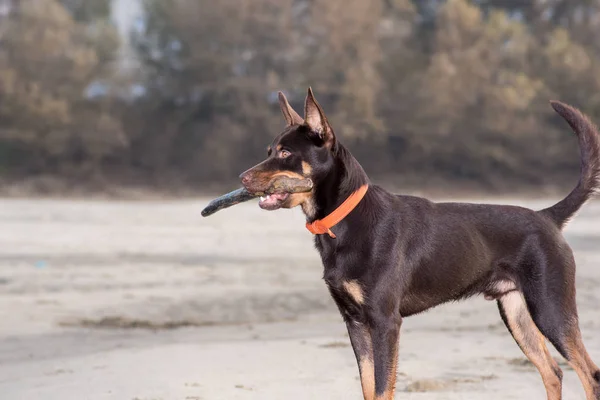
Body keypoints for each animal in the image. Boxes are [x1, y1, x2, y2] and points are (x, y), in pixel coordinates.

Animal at [239, 89, 600, 398]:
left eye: (286, 153)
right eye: (269, 152)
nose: (242, 178)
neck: (343, 221)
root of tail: (547, 217)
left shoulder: (385, 322)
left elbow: (381, 388)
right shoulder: (355, 322)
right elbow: (368, 387)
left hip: (551, 309)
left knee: (589, 376)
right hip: (517, 312)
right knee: (554, 372)